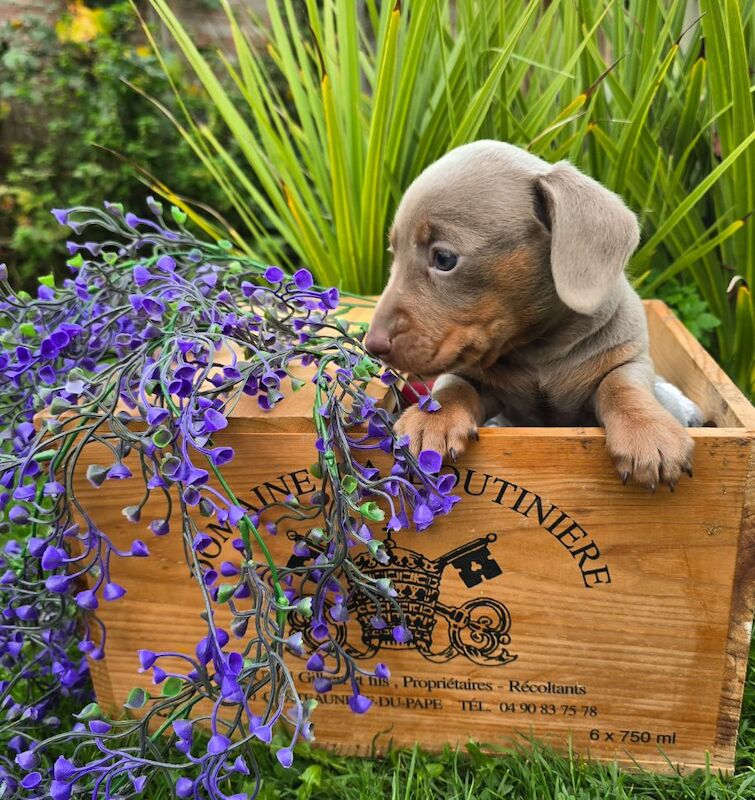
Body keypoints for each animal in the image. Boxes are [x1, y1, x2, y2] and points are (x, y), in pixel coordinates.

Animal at [366, 141, 696, 490]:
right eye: (394, 254)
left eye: (444, 258)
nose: (372, 345)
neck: (538, 346)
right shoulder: (472, 375)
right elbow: (453, 386)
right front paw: (432, 418)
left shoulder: (629, 358)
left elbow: (622, 386)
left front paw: (647, 431)